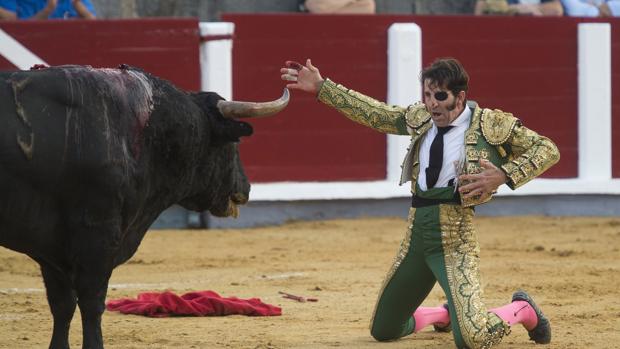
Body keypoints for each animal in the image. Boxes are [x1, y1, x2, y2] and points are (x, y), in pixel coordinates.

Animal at [0, 64, 290, 346]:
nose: (247, 187)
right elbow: (92, 304)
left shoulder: (52, 249)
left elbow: (62, 305)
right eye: (234, 144)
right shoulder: (97, 234)